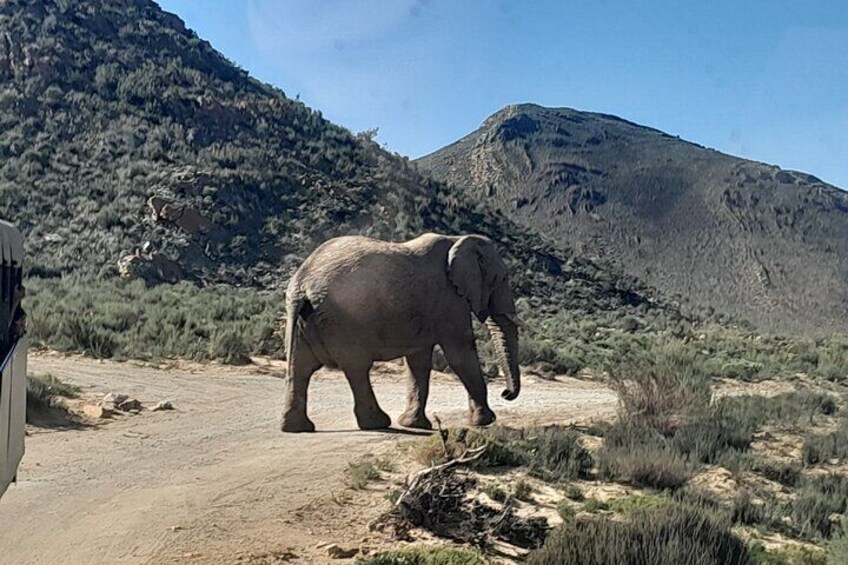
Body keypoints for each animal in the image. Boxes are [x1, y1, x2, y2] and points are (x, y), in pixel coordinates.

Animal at [282, 232, 520, 432]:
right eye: (501, 279)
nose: (506, 393)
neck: (457, 239)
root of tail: (303, 283)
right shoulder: (448, 299)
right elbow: (460, 354)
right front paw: (485, 421)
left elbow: (418, 362)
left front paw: (414, 424)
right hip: (343, 320)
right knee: (356, 368)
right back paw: (377, 423)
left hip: (305, 320)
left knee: (300, 367)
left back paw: (296, 428)